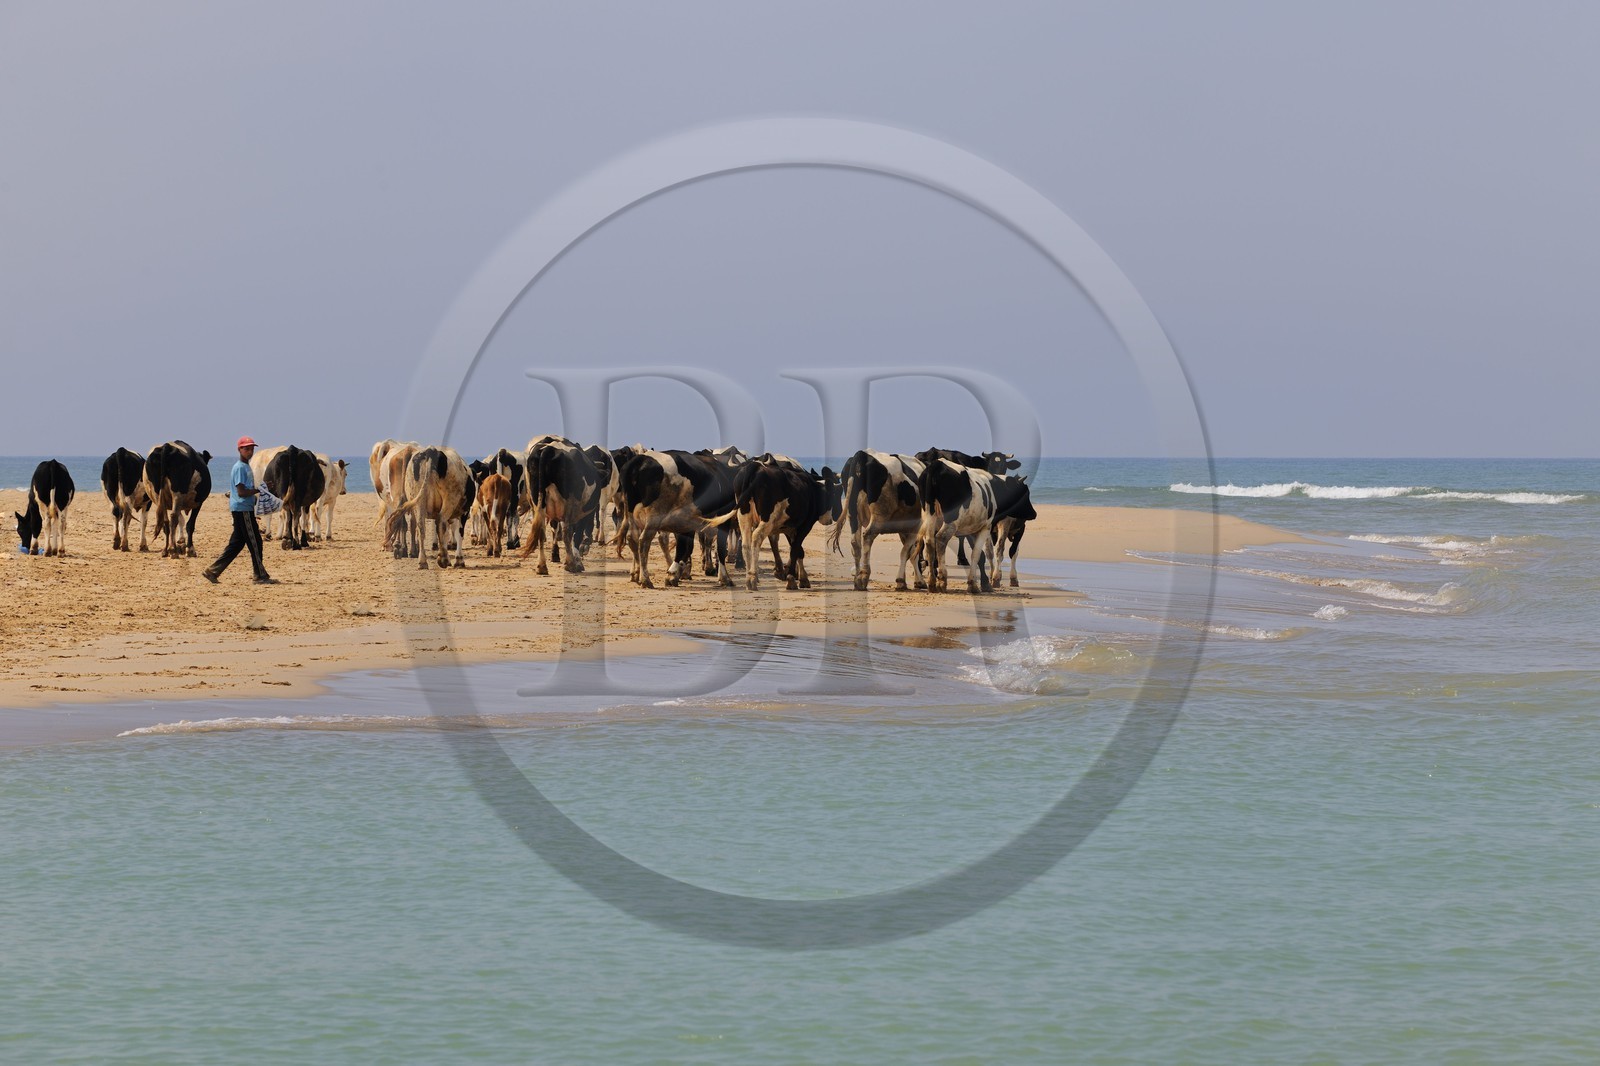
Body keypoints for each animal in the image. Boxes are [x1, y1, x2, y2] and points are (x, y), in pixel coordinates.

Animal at [520, 437, 603, 575]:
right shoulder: (582, 515)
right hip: (570, 504)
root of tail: (548, 449)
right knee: (567, 531)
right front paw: (578, 562)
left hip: (536, 503)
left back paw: (541, 566)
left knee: (541, 530)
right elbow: (576, 535)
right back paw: (570, 565)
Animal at [613, 449, 736, 588]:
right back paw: (645, 579)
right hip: (654, 517)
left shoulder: (686, 523)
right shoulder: (723, 520)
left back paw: (637, 575)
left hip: (631, 514)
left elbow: (685, 547)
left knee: (632, 539)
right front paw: (725, 578)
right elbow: (720, 549)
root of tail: (640, 460)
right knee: (644, 541)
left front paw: (674, 574)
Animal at [729, 459, 840, 590]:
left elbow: (798, 550)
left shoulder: (789, 528)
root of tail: (755, 467)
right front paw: (792, 579)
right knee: (756, 537)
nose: (833, 517)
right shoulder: (805, 526)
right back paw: (752, 578)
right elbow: (795, 549)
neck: (813, 490)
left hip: (744, 517)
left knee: (746, 543)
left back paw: (749, 578)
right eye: (834, 494)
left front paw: (802, 578)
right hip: (767, 519)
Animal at [827, 450, 927, 591]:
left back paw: (857, 578)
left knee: (855, 543)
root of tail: (862, 454)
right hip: (879, 514)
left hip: (853, 515)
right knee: (867, 536)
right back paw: (863, 577)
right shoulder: (915, 526)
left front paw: (910, 581)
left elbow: (911, 551)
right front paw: (904, 580)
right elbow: (908, 552)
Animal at [916, 458, 998, 594]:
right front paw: (974, 584)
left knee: (929, 542)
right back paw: (942, 581)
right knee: (941, 538)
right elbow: (977, 553)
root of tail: (937, 464)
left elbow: (980, 554)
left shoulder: (971, 529)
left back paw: (932, 582)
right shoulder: (985, 527)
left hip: (928, 514)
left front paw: (984, 583)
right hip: (951, 520)